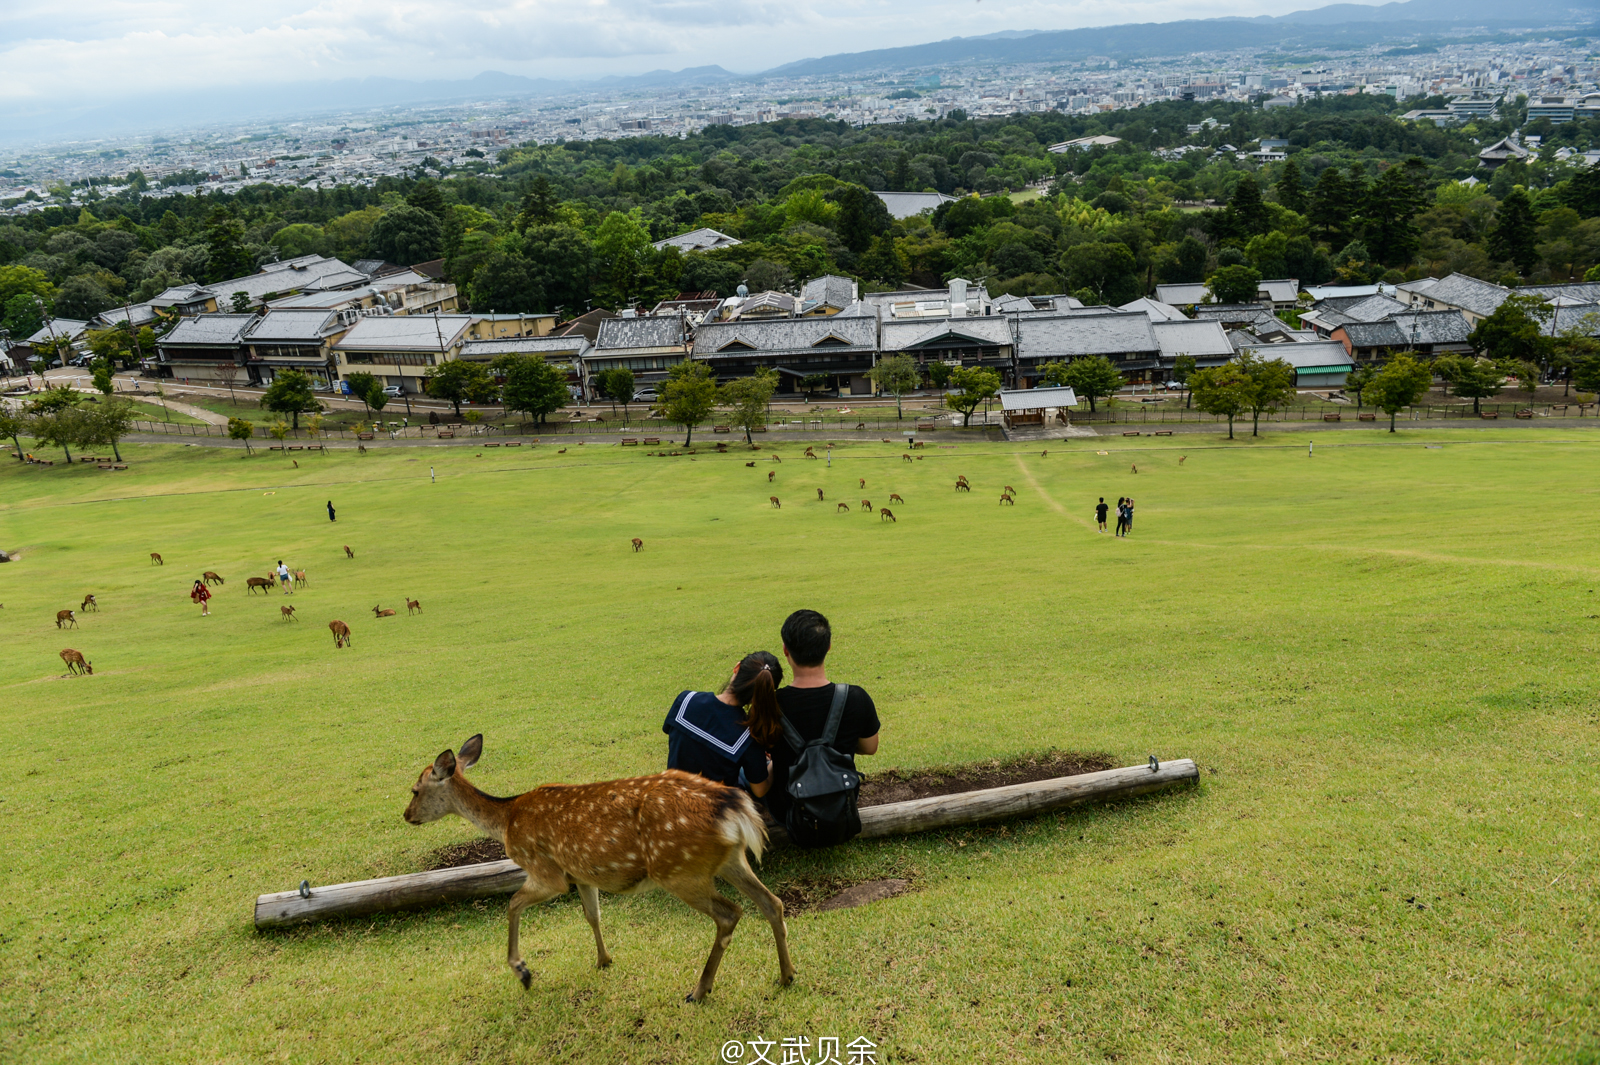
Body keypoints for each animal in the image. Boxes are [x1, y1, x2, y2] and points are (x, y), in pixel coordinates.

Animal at [406, 735, 793, 997]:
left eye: (414, 789)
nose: (407, 815)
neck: (506, 821)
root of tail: (736, 807)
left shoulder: (547, 873)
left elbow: (513, 904)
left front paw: (523, 972)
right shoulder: (581, 873)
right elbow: (592, 915)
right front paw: (604, 959)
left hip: (680, 870)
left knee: (730, 913)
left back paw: (699, 990)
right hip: (731, 859)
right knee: (772, 902)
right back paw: (787, 974)